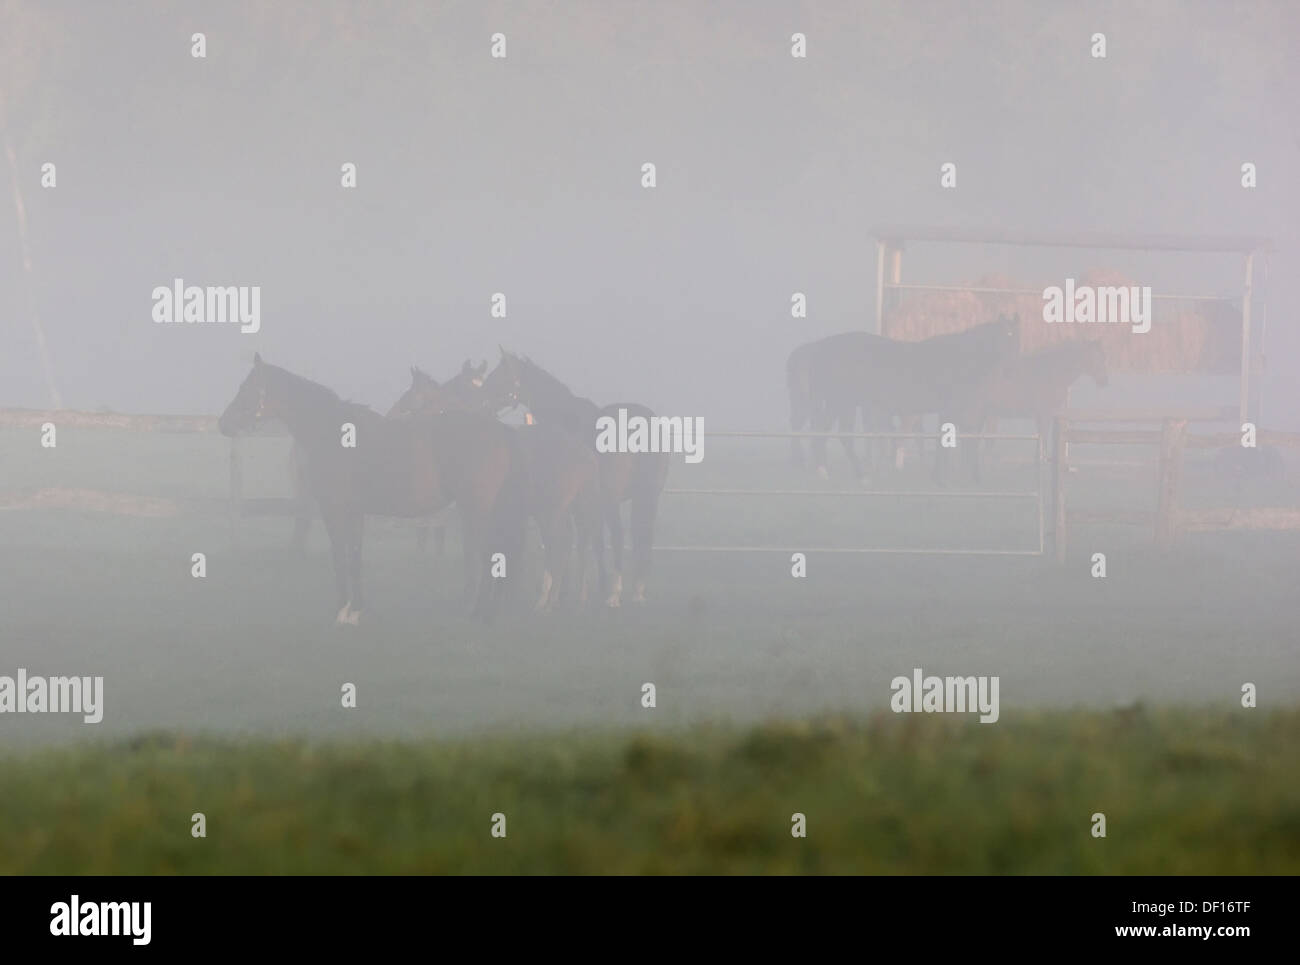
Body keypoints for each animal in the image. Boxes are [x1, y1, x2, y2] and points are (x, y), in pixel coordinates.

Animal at [219, 358, 527, 624]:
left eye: (247, 389)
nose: (224, 423)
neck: (333, 433)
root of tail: (501, 432)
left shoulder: (334, 510)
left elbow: (340, 557)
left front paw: (341, 611)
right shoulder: (355, 512)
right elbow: (355, 557)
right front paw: (356, 610)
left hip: (479, 509)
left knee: (490, 554)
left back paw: (482, 612)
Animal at [480, 348, 670, 603]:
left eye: (501, 374)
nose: (481, 398)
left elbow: (574, 541)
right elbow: (585, 542)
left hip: (613, 500)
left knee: (619, 537)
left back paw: (615, 592)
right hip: (647, 496)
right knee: (643, 536)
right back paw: (636, 591)